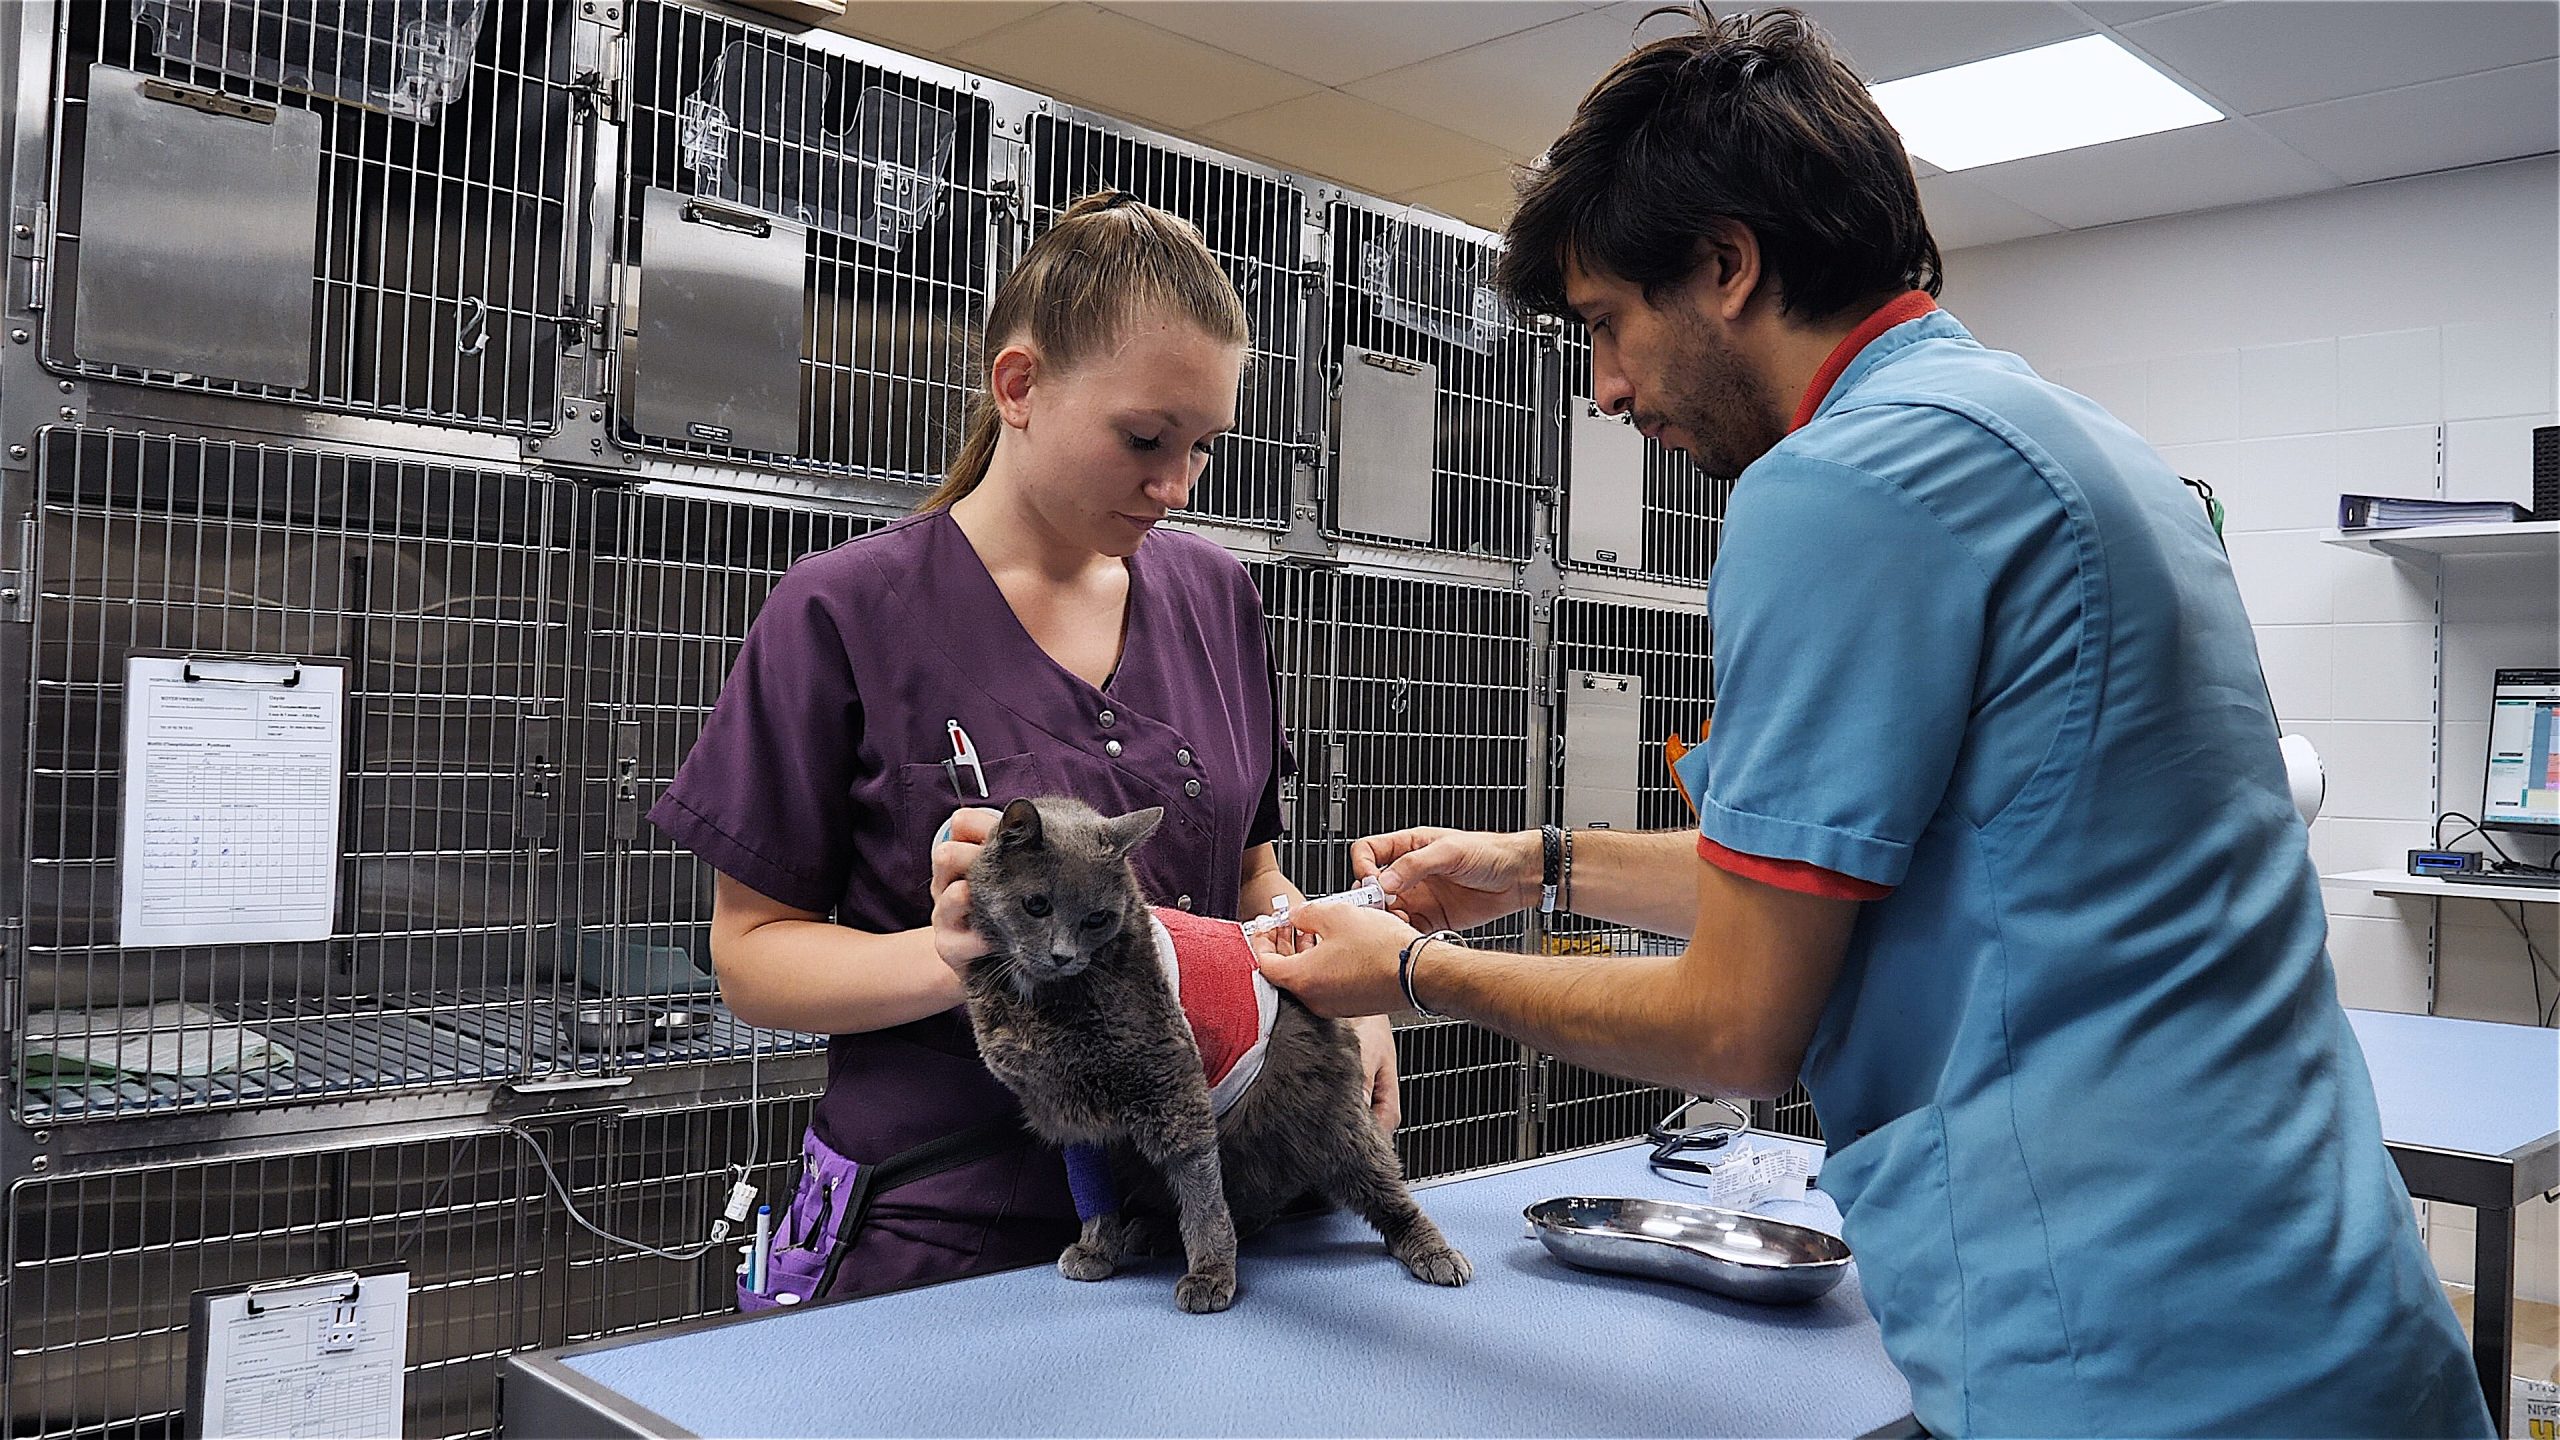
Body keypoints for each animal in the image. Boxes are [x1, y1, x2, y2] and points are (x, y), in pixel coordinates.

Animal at [962, 794, 1484, 1311]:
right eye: (1036, 904)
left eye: (1096, 919)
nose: (1063, 955)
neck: (1039, 1001)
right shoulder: (1068, 1111)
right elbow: (1094, 1194)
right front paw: (1096, 1249)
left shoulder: (1174, 1088)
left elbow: (1202, 1197)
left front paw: (1210, 1273)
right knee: (1249, 1199)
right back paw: (1152, 1232)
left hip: (1324, 1115)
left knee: (1374, 1188)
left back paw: (1431, 1250)